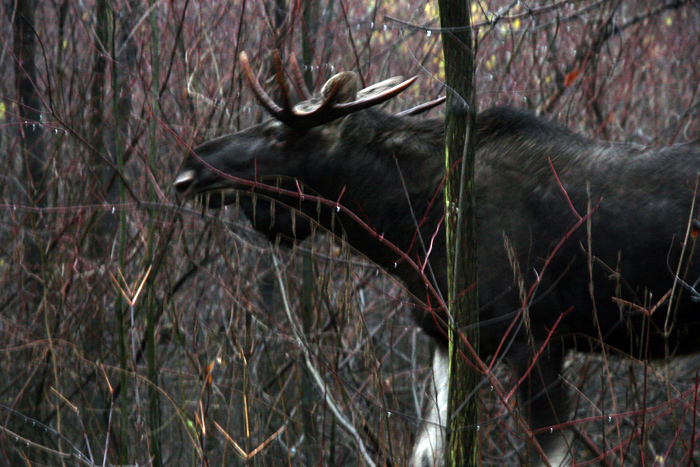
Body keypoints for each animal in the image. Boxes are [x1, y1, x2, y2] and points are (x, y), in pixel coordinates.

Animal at [175, 52, 700, 467]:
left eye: (279, 134)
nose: (189, 167)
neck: (408, 234)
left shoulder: (534, 334)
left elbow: (551, 455)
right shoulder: (448, 337)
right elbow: (426, 452)